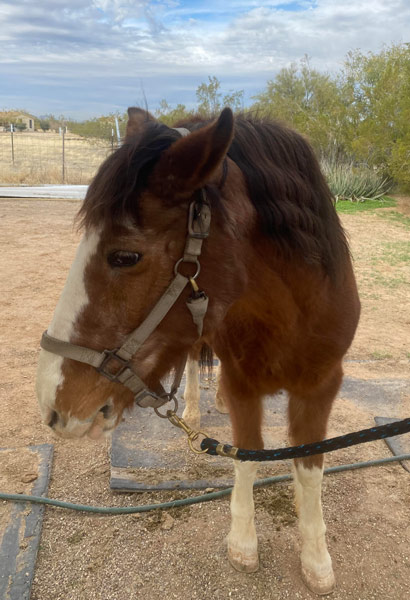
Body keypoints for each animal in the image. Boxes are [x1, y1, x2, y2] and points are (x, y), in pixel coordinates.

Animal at [36, 108, 360, 596]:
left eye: (125, 256)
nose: (53, 404)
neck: (290, 312)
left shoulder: (321, 386)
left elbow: (309, 467)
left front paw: (316, 559)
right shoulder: (243, 383)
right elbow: (247, 454)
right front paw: (243, 543)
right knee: (192, 364)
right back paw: (190, 409)